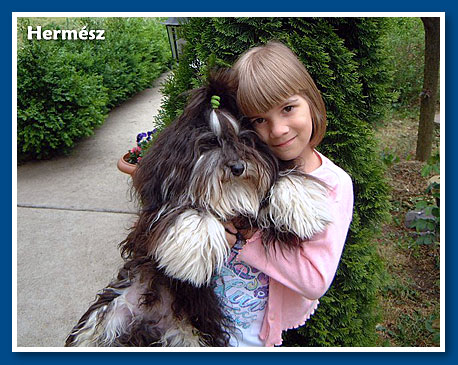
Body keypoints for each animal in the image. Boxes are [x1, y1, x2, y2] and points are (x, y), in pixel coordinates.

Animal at [64, 69, 330, 346]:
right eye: (211, 142)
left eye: (246, 139)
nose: (238, 167)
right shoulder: (149, 220)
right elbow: (187, 210)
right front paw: (193, 252)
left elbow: (279, 179)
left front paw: (303, 204)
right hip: (107, 313)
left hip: (193, 334)